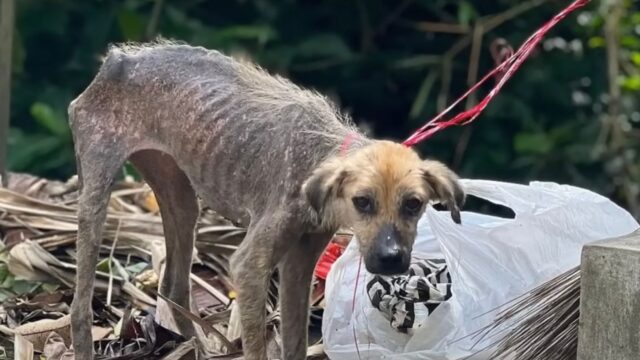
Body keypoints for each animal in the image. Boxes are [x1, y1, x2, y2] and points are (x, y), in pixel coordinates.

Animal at [67, 40, 462, 360]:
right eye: (362, 202)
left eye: (414, 204)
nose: (391, 259)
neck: (325, 151)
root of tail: (117, 59)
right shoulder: (250, 265)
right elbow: (258, 339)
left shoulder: (301, 259)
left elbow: (295, 342)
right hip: (96, 186)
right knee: (79, 306)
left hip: (177, 189)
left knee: (174, 286)